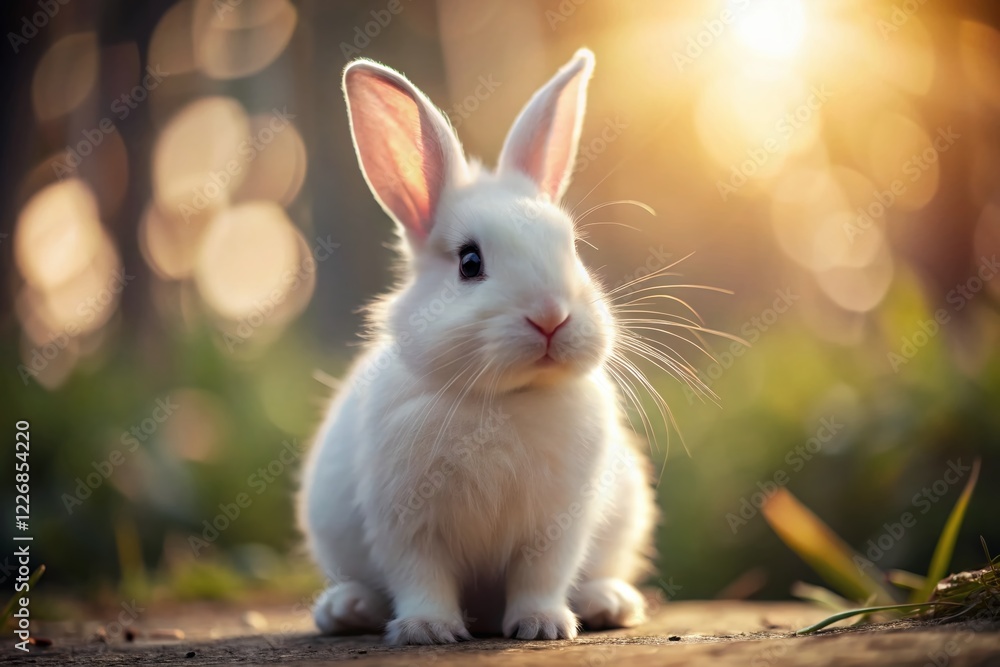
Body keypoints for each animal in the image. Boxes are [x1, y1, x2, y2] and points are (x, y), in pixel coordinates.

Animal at [298, 48, 657, 645]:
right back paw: (346, 610)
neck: (503, 399)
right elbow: (421, 576)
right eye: (470, 263)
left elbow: (542, 575)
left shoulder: (557, 523)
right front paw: (426, 630)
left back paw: (608, 603)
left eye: (572, 248)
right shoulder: (405, 522)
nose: (551, 316)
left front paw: (543, 626)